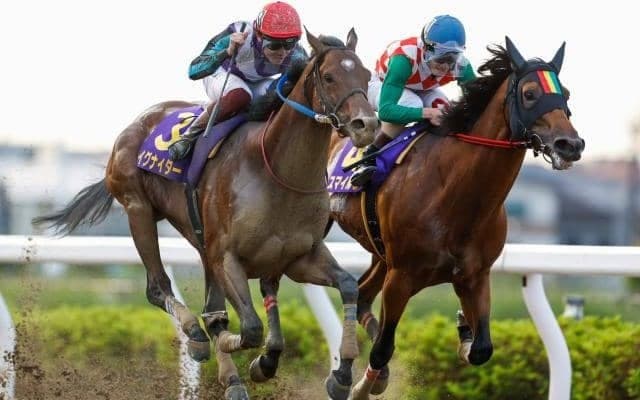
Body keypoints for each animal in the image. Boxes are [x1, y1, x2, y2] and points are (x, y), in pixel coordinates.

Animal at [33, 29, 378, 400]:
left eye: (367, 76)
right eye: (329, 77)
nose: (367, 125)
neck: (277, 171)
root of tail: (139, 122)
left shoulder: (299, 257)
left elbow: (348, 286)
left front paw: (341, 373)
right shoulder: (227, 257)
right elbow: (248, 327)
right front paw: (236, 350)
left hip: (198, 240)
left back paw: (231, 374)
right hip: (138, 209)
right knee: (158, 288)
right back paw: (197, 337)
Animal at [326, 37, 585, 399]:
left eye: (567, 94)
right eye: (530, 93)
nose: (570, 144)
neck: (455, 194)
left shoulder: (476, 275)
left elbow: (482, 348)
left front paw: (465, 329)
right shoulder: (402, 276)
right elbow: (382, 349)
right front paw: (364, 385)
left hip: (380, 251)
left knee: (362, 294)